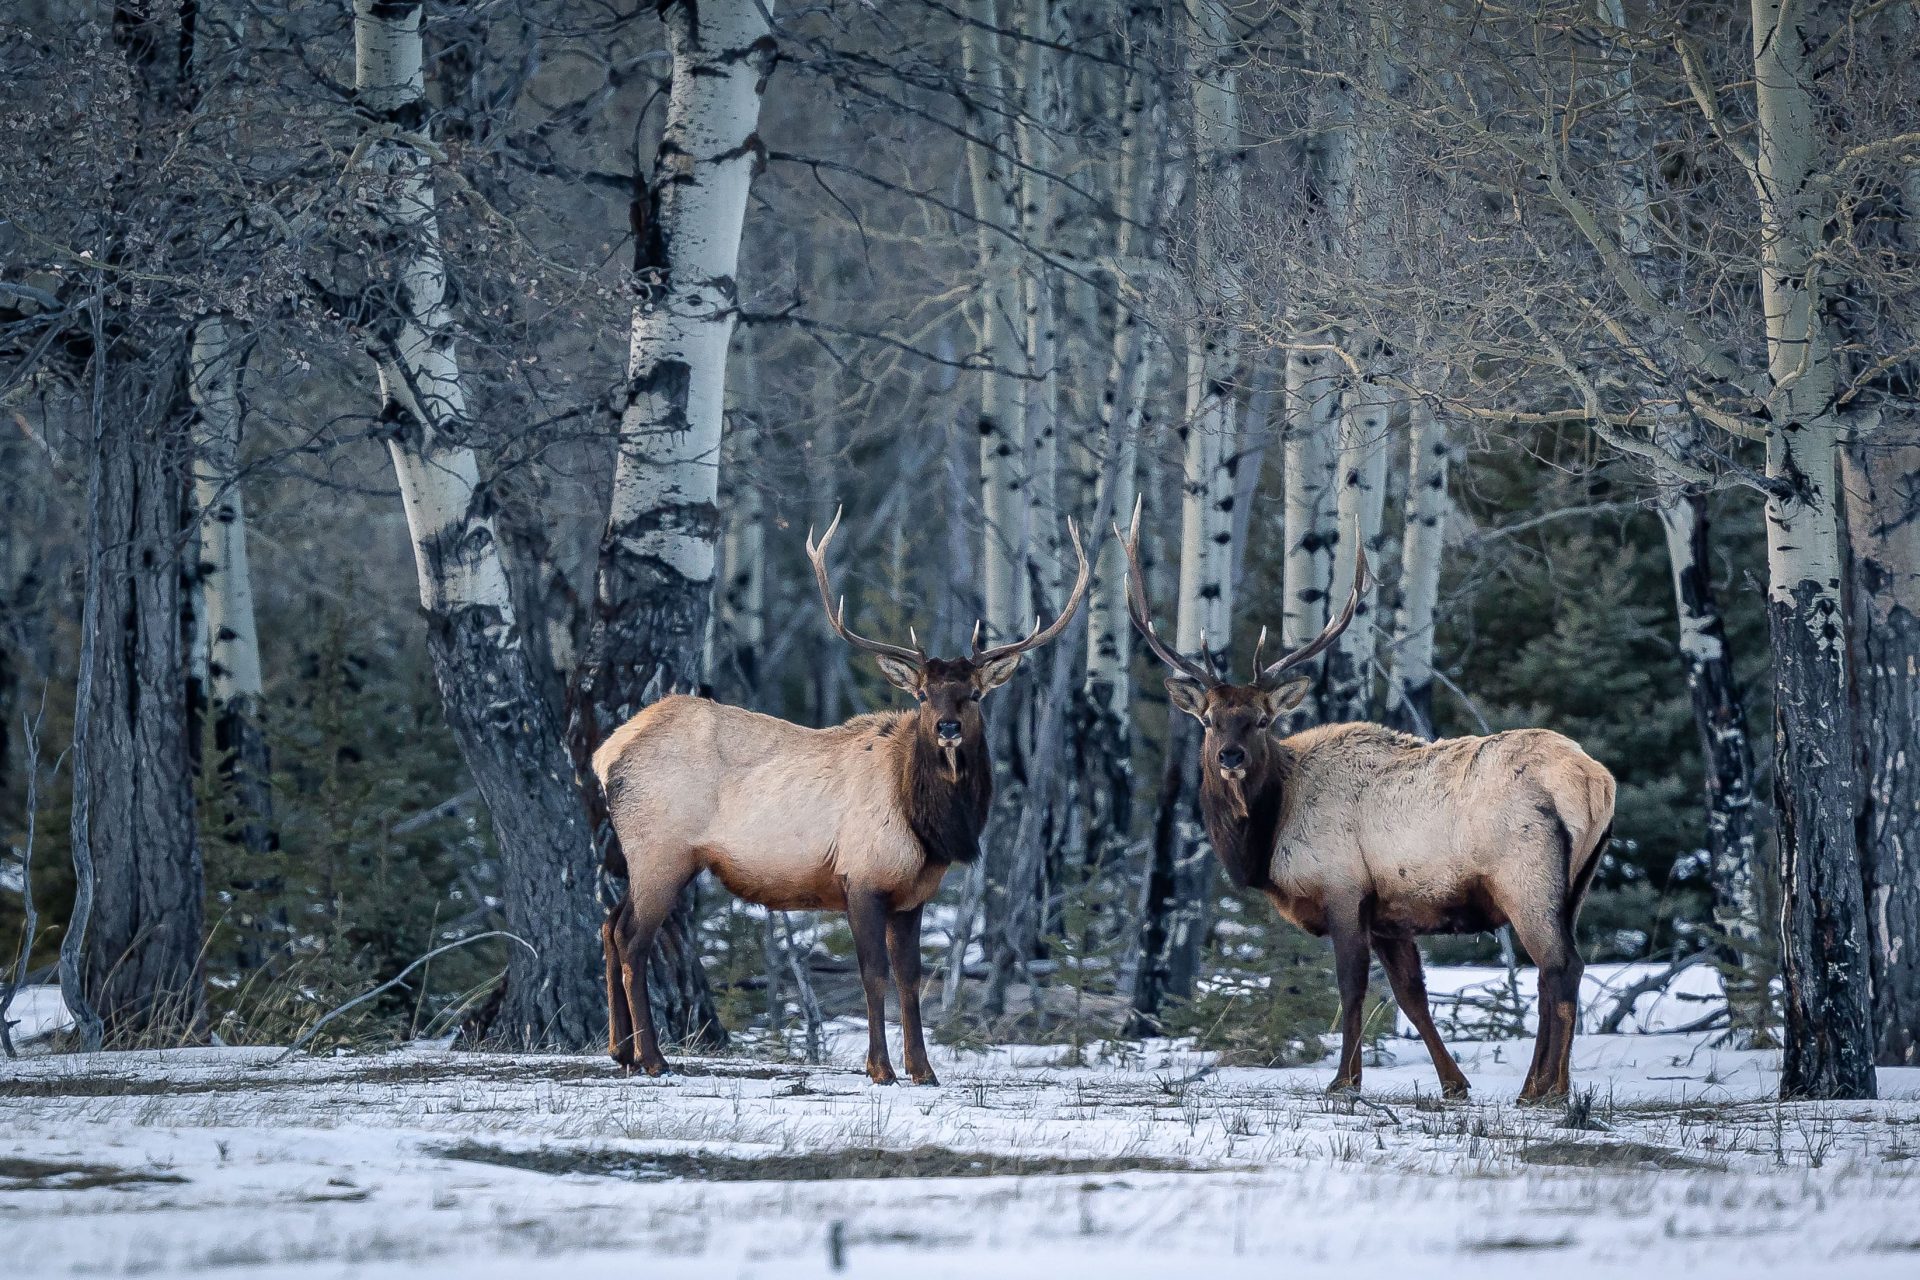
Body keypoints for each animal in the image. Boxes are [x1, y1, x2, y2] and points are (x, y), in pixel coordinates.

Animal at [591, 506, 1090, 1082]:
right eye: (923, 693)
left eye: (974, 694)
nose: (946, 727)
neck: (931, 829)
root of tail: (606, 753)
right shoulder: (862, 877)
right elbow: (873, 975)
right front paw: (880, 1068)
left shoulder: (913, 893)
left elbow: (911, 979)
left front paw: (923, 1069)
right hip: (661, 850)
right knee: (632, 937)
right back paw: (652, 1057)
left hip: (649, 855)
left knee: (609, 924)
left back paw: (619, 1049)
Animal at [1121, 502, 1612, 1105]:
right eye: (1210, 719)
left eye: (1260, 720)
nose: (1230, 756)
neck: (1266, 840)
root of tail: (1596, 782)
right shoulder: (1390, 915)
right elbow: (1411, 997)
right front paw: (1453, 1083)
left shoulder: (1343, 887)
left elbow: (1352, 988)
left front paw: (1342, 1082)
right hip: (1577, 882)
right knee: (1563, 969)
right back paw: (1544, 1086)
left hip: (1526, 876)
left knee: (1558, 967)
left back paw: (1544, 1089)